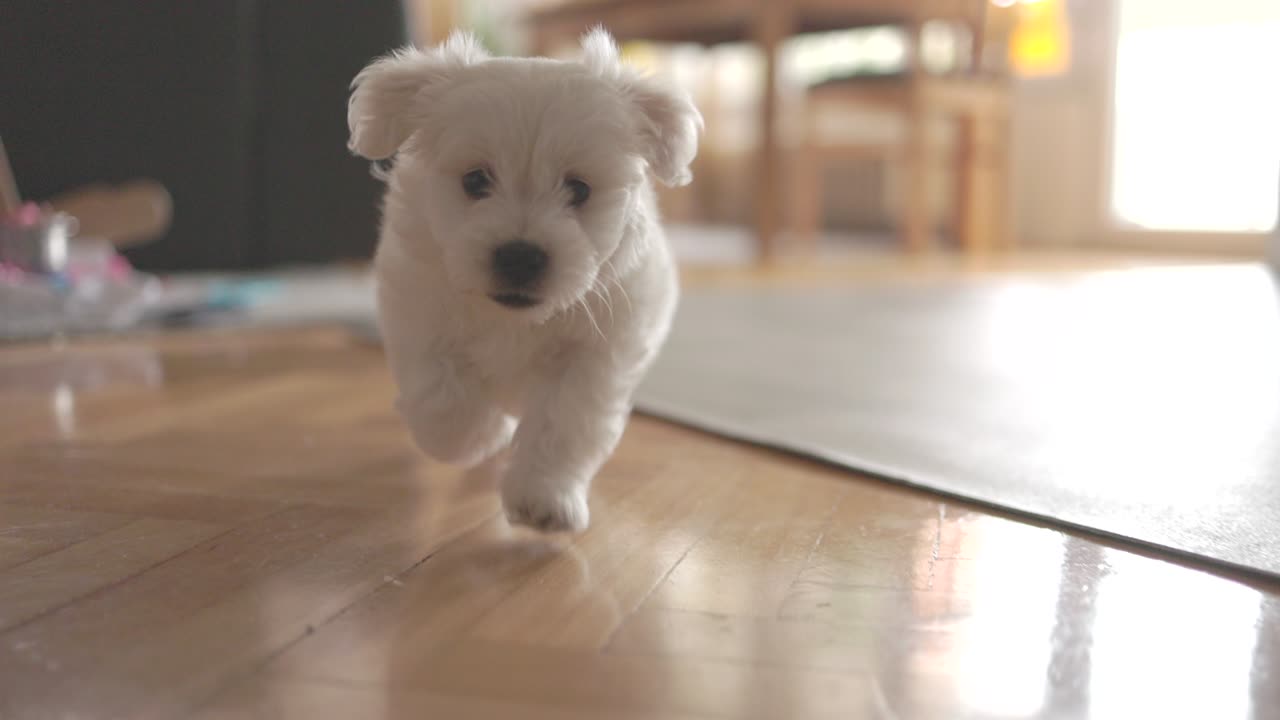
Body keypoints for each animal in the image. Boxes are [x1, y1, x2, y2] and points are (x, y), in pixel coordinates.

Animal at [345, 28, 701, 530]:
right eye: (475, 180)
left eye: (579, 189)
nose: (520, 257)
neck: (514, 319)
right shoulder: (417, 305)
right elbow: (441, 396)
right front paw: (478, 437)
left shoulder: (595, 353)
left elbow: (564, 423)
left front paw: (545, 498)